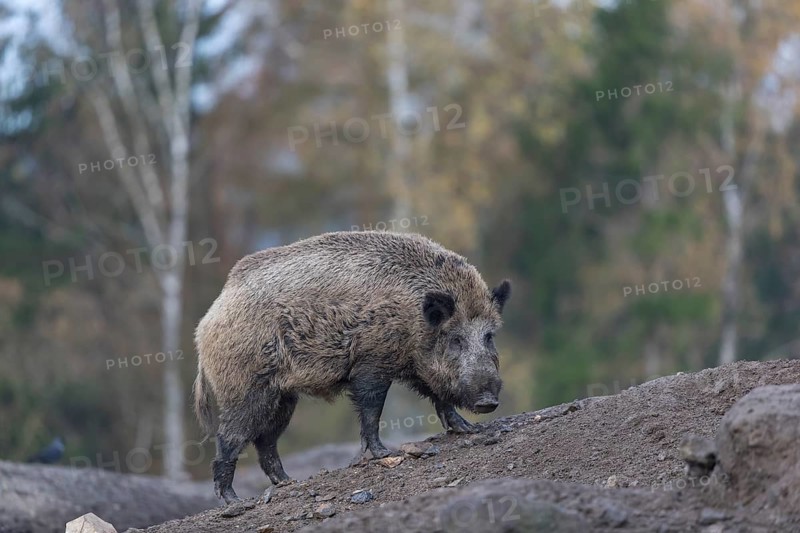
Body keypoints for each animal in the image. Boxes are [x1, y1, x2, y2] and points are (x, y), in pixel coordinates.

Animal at [193, 231, 511, 503]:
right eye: (456, 338)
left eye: (489, 336)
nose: (487, 401)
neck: (413, 318)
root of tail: (205, 325)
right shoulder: (371, 363)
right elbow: (372, 410)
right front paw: (383, 453)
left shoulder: (417, 368)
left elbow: (440, 398)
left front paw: (469, 430)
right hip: (245, 389)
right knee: (229, 436)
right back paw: (232, 500)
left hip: (283, 397)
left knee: (266, 441)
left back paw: (288, 482)